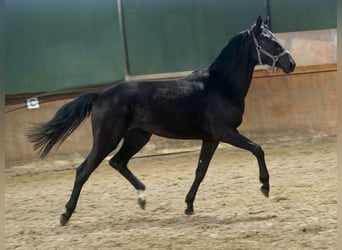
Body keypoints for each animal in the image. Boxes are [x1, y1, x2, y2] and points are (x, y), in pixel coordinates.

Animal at [26, 16, 296, 226]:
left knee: (118, 162)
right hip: (107, 139)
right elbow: (257, 149)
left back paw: (143, 198)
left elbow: (201, 170)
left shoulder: (211, 138)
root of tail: (100, 95)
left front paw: (188, 206)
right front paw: (265, 187)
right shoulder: (225, 132)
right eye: (269, 40)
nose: (291, 64)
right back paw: (65, 214)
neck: (220, 85)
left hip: (138, 136)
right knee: (84, 169)